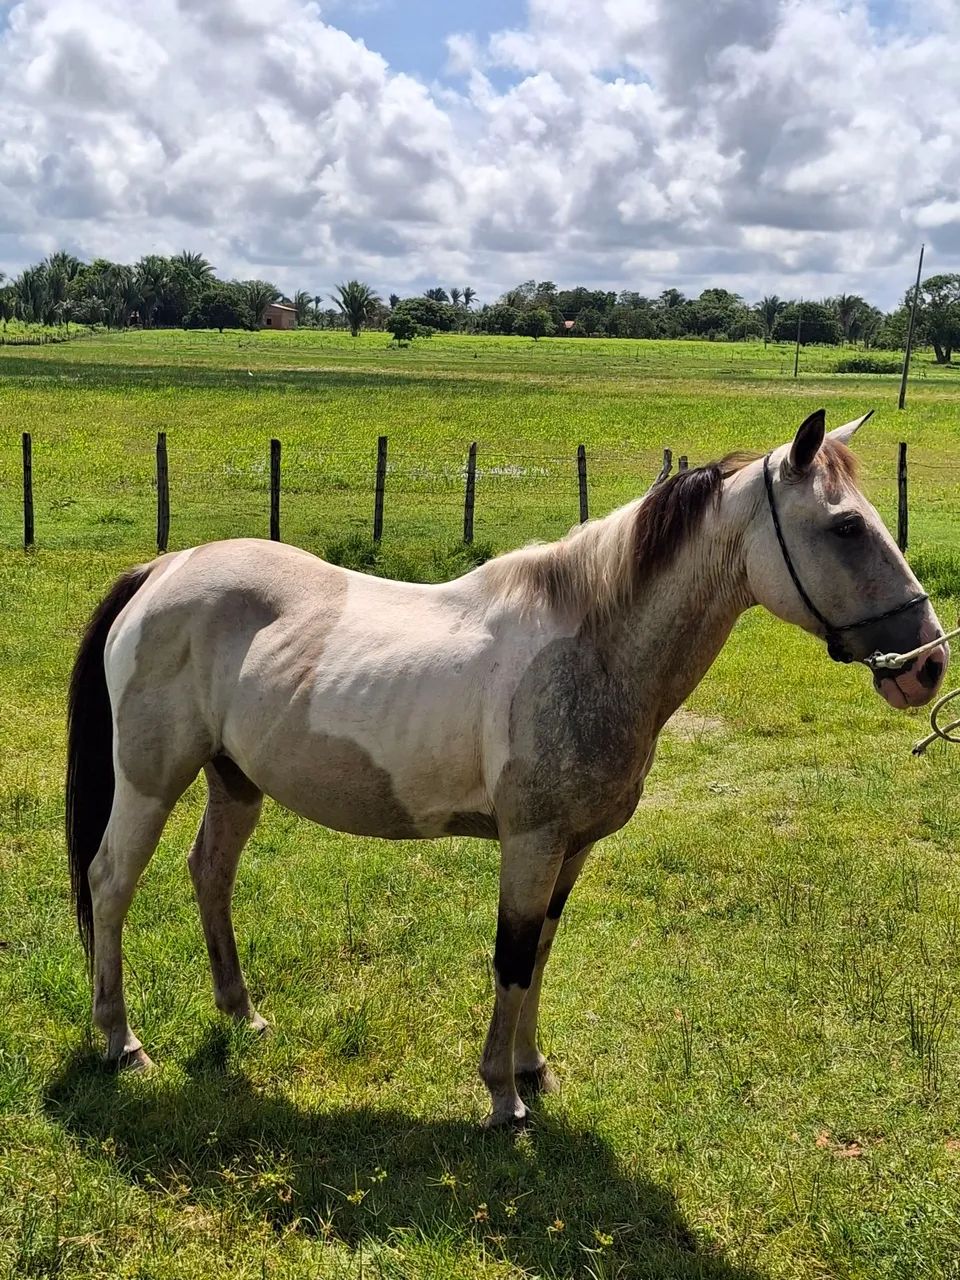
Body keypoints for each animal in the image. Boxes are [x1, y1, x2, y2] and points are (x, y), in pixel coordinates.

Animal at [66, 409, 948, 1127]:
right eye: (845, 528)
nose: (928, 664)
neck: (593, 648)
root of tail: (164, 570)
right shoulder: (531, 843)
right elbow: (513, 956)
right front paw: (501, 1095)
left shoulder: (572, 850)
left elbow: (543, 954)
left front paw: (533, 1068)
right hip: (150, 781)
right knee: (111, 883)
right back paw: (122, 1040)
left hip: (235, 779)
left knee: (209, 873)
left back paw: (240, 1015)